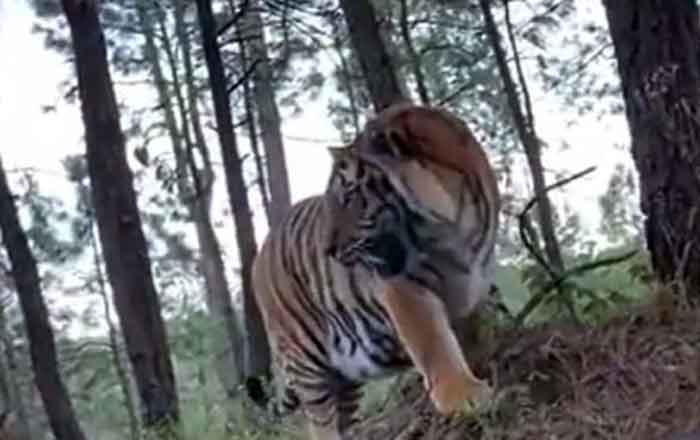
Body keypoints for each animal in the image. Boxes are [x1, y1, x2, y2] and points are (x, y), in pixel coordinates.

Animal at [249, 103, 500, 440]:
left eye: (349, 196)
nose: (328, 249)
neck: (453, 229)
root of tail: (259, 255)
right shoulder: (404, 289)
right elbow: (434, 343)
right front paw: (463, 397)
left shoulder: (474, 277)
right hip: (306, 362)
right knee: (320, 423)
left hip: (346, 378)